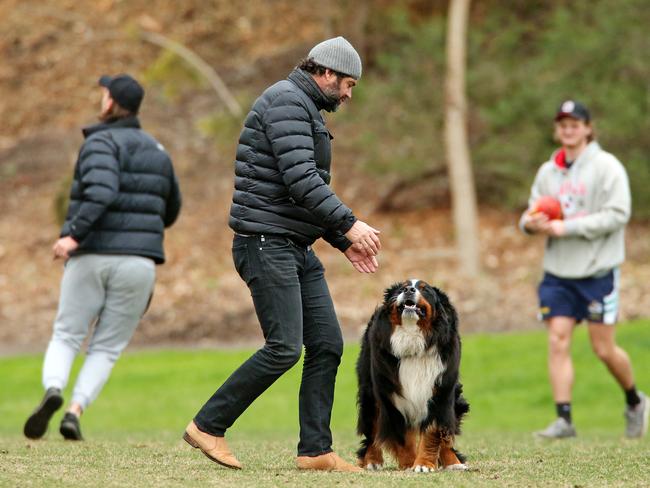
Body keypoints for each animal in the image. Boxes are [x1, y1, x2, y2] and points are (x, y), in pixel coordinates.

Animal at [354, 278, 466, 472]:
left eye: (425, 290)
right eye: (401, 288)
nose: (408, 290)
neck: (412, 338)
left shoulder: (440, 393)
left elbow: (433, 432)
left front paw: (423, 465)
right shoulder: (391, 396)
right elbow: (403, 439)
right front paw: (408, 464)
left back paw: (453, 463)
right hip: (369, 393)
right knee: (372, 428)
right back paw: (372, 461)